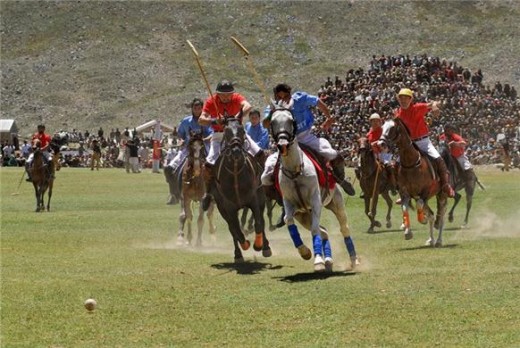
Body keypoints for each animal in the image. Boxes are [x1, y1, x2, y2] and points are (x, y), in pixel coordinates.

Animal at [210, 118, 272, 262]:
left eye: (242, 130)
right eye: (226, 131)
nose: (236, 151)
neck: (235, 172)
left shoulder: (254, 200)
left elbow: (259, 223)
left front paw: (259, 245)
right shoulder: (228, 207)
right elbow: (236, 230)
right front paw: (244, 245)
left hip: (261, 199)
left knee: (261, 220)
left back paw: (265, 246)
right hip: (222, 208)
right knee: (232, 228)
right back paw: (238, 253)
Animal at [268, 109, 358, 272]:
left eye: (291, 121)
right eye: (272, 122)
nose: (282, 144)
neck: (295, 171)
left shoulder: (315, 201)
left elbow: (315, 229)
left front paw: (318, 261)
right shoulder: (289, 203)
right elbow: (288, 220)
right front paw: (305, 252)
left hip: (336, 202)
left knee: (343, 228)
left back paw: (353, 260)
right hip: (304, 215)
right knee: (324, 232)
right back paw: (328, 260)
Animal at [378, 118, 446, 246]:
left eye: (392, 128)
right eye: (382, 127)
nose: (380, 144)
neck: (411, 163)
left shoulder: (425, 191)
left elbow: (420, 206)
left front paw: (422, 219)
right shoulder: (406, 193)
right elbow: (405, 208)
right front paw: (408, 232)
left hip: (441, 195)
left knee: (440, 215)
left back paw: (439, 240)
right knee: (432, 214)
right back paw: (431, 240)